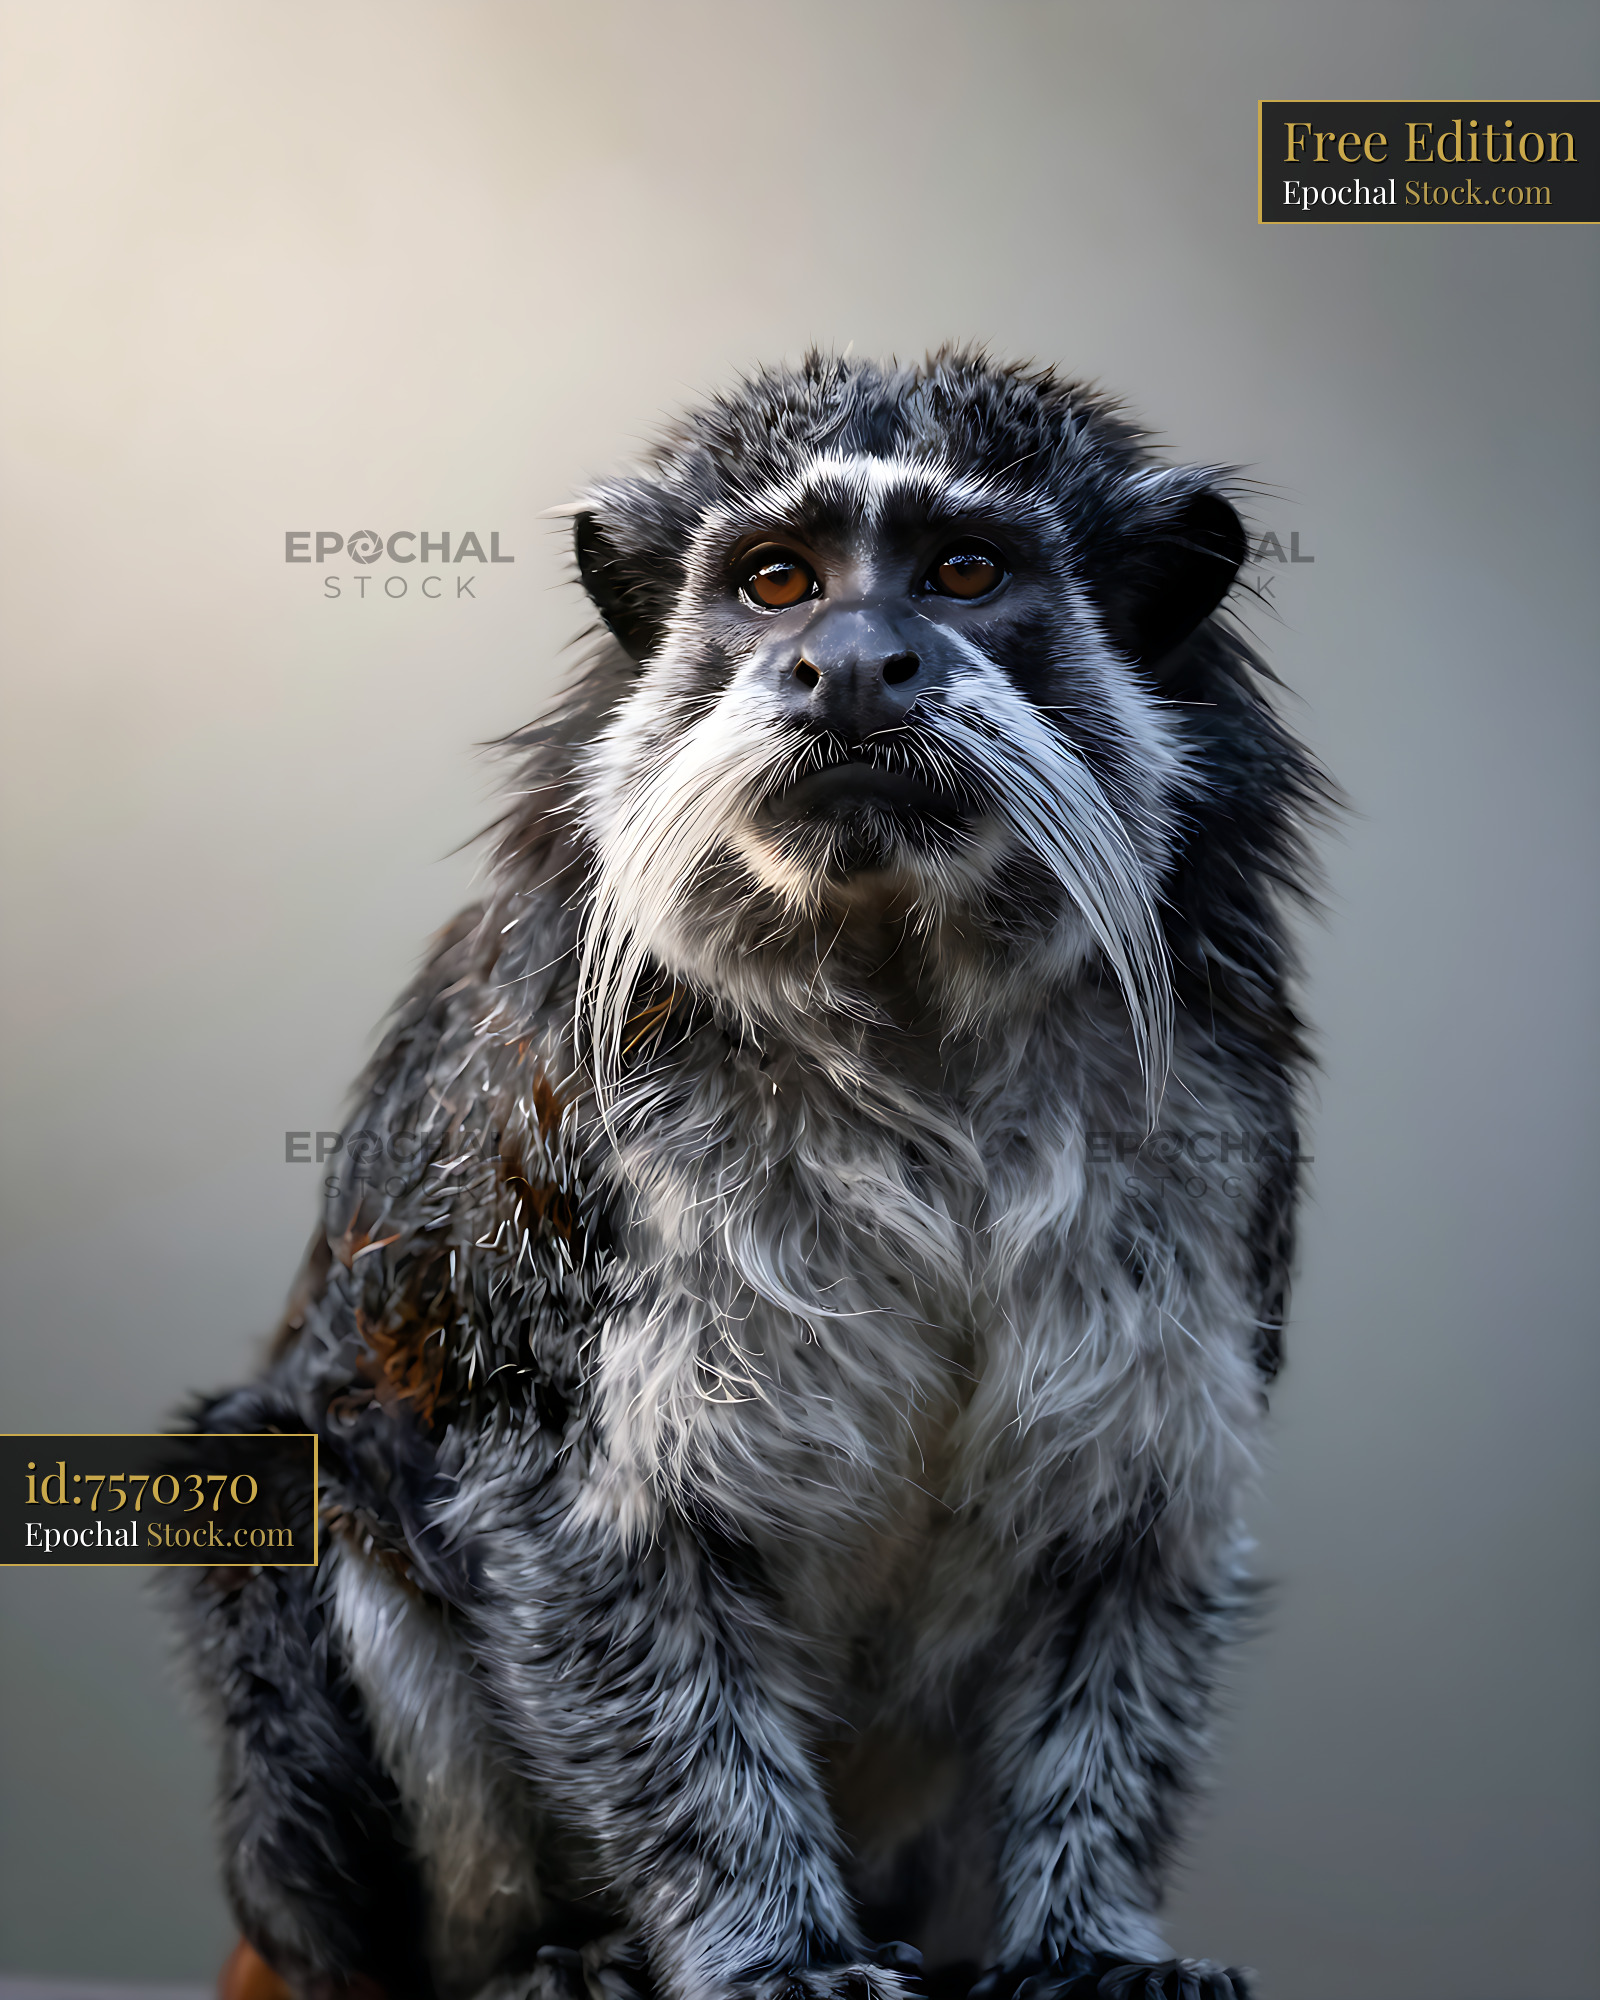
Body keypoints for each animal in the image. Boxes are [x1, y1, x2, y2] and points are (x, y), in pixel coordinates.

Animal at [169, 350, 1329, 2000]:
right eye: (780, 581)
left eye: (963, 572)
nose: (850, 666)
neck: (909, 1006)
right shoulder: (574, 1164)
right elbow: (594, 1543)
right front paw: (775, 1947)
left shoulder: (1218, 1151)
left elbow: (1132, 1532)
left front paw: (1091, 1940)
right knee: (290, 1476)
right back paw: (544, 1957)